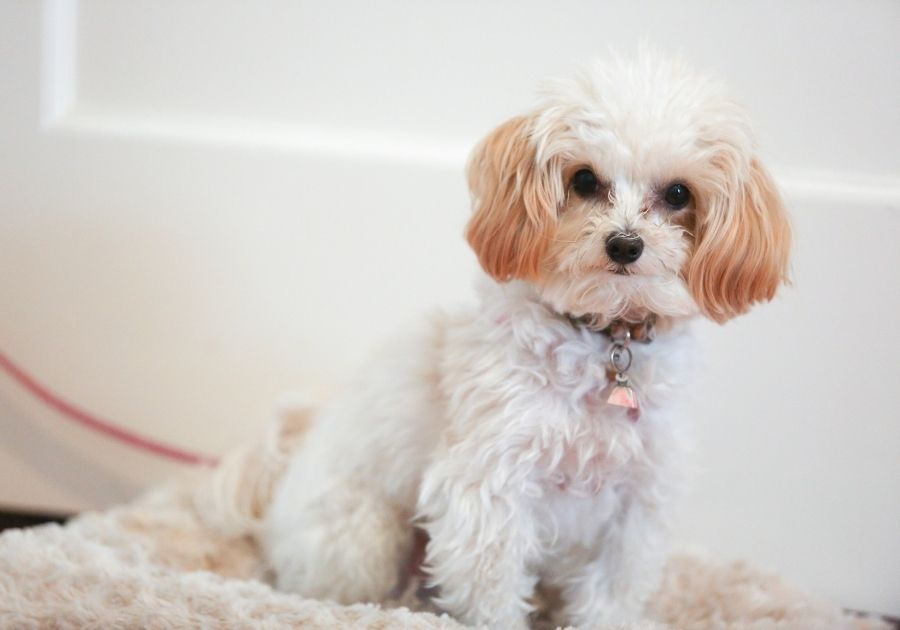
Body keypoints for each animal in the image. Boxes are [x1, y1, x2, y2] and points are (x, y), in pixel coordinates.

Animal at [260, 51, 788, 628]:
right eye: (584, 179)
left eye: (677, 193)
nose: (625, 244)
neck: (602, 339)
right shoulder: (489, 489)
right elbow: (492, 592)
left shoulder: (636, 504)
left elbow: (609, 596)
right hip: (364, 538)